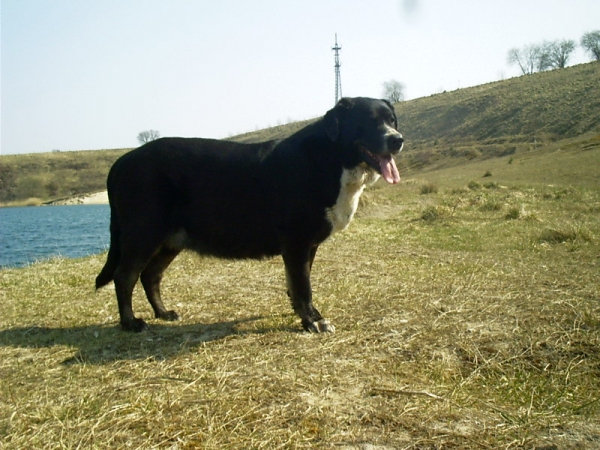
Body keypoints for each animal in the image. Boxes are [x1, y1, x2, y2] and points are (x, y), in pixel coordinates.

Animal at [96, 96, 404, 332]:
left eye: (391, 120)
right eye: (370, 121)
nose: (397, 140)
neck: (333, 159)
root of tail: (121, 162)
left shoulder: (308, 245)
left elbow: (297, 283)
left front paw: (305, 313)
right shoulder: (297, 241)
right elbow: (303, 285)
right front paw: (312, 321)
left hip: (170, 240)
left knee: (151, 276)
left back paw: (163, 313)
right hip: (144, 233)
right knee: (125, 276)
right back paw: (131, 323)